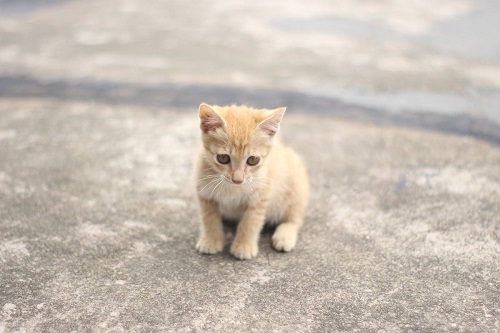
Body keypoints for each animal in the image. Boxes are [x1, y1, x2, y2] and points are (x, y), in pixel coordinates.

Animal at [194, 102, 308, 258]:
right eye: (223, 158)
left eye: (253, 160)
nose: (237, 179)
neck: (233, 188)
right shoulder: (204, 192)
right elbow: (208, 217)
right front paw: (211, 239)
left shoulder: (261, 195)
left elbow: (251, 221)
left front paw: (244, 246)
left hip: (296, 187)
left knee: (295, 218)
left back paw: (285, 236)